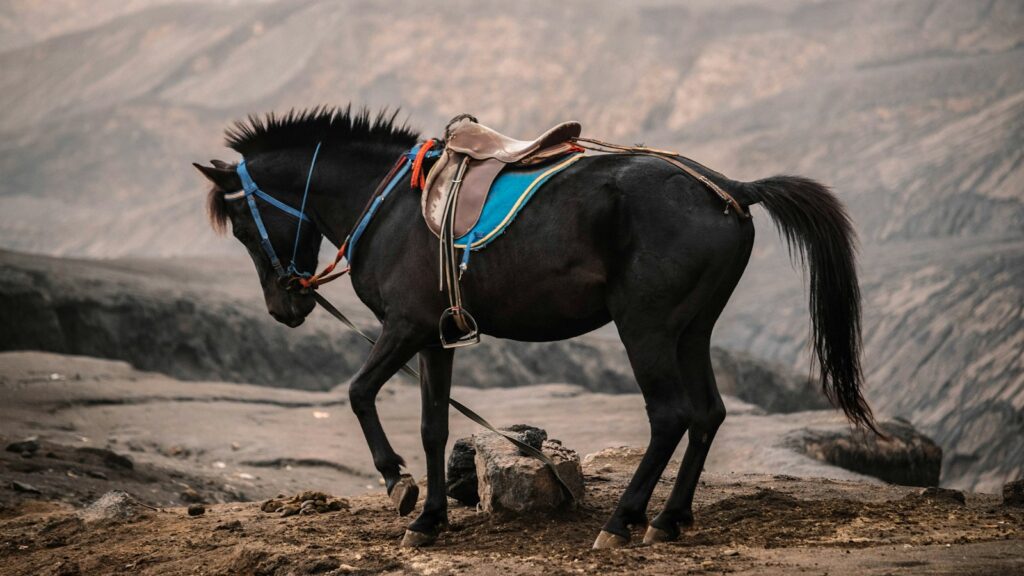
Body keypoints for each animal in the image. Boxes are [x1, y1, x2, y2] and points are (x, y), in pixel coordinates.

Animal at [194, 106, 875, 548]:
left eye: (244, 225)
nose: (284, 308)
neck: (387, 204)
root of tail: (729, 188)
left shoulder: (405, 327)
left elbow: (360, 393)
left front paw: (398, 487)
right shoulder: (435, 337)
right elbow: (434, 427)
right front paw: (430, 521)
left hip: (647, 328)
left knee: (671, 416)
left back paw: (622, 522)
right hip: (692, 330)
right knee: (707, 414)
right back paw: (669, 519)